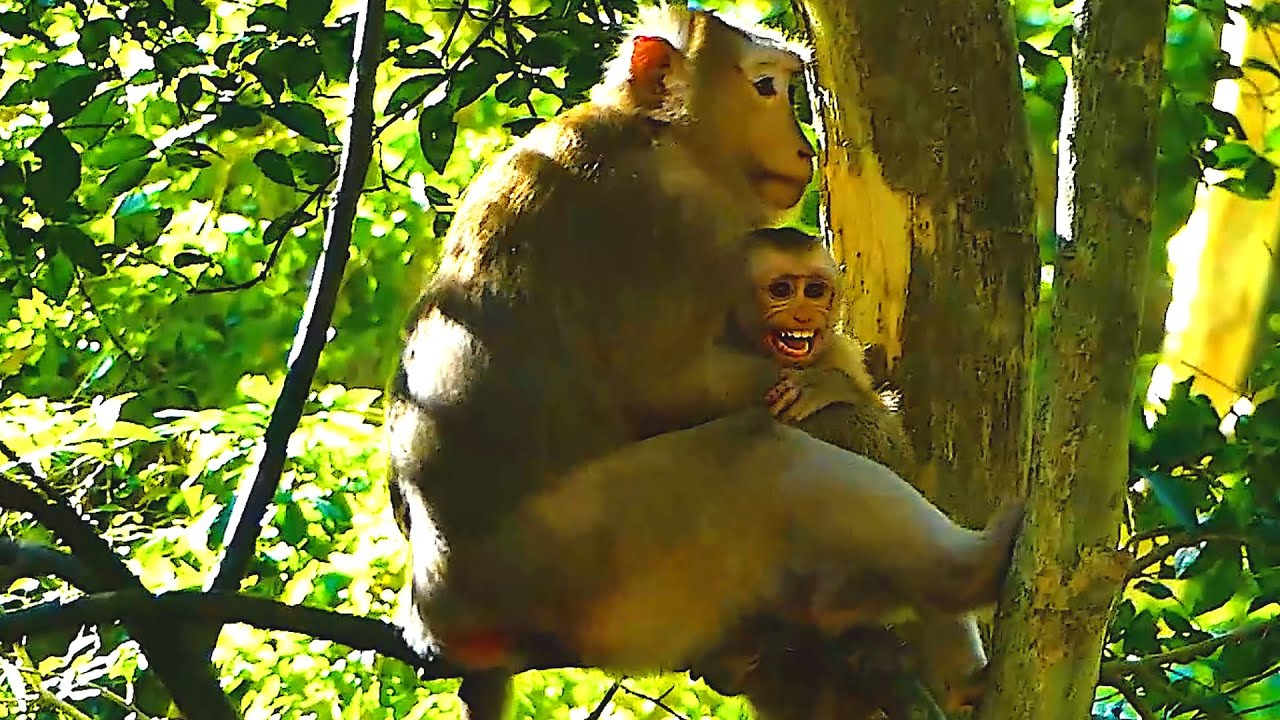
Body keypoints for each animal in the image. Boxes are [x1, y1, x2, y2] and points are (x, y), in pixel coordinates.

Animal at [384, 6, 1026, 720]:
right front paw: (835, 388)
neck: (652, 128)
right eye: (767, 87)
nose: (804, 148)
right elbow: (667, 383)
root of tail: (439, 612)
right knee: (768, 458)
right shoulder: (678, 213)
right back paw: (966, 574)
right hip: (597, 569)